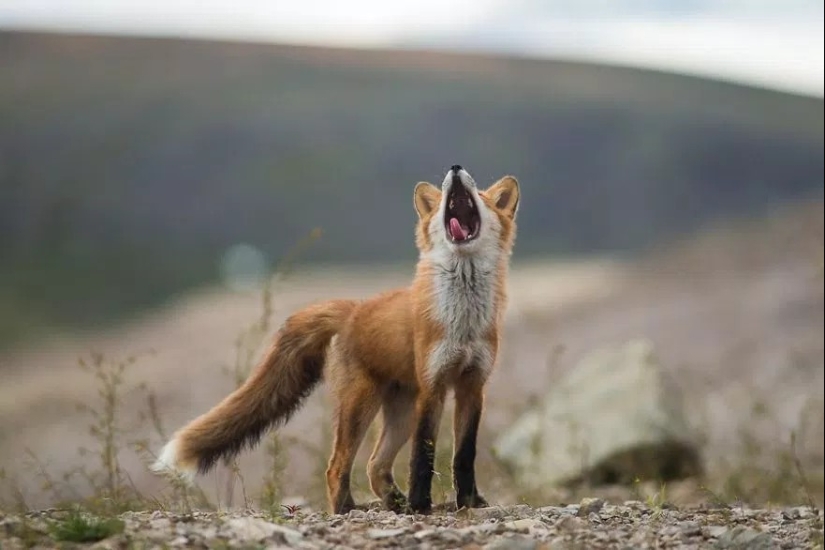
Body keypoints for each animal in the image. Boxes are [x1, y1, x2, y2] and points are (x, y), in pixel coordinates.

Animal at [151, 165, 520, 516]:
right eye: (446, 192)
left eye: (480, 196)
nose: (455, 168)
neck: (464, 323)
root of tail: (353, 308)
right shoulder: (434, 386)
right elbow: (423, 456)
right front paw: (420, 505)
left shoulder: (473, 385)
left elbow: (464, 454)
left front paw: (470, 501)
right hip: (362, 405)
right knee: (337, 466)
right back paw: (349, 509)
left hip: (400, 413)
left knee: (374, 466)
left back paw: (393, 505)